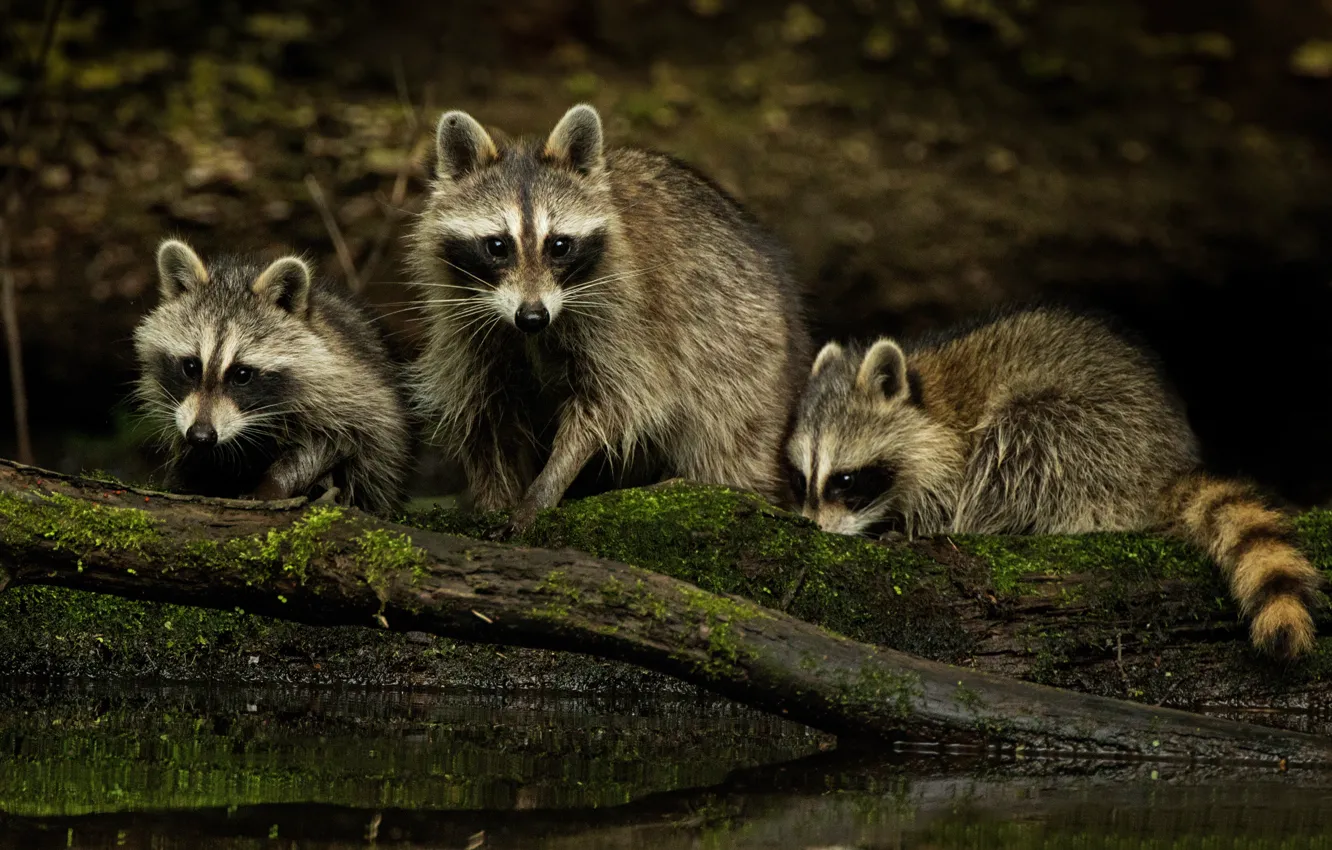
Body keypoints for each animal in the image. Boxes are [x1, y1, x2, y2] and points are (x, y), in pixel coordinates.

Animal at [133, 239, 411, 514]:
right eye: (190, 367)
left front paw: (275, 483)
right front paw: (190, 470)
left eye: (242, 374)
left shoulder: (352, 398)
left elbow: (331, 444)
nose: (201, 435)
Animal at [409, 104, 810, 529]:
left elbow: (608, 405)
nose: (532, 316)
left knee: (728, 440)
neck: (531, 334)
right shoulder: (464, 325)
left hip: (746, 359)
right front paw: (495, 500)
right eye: (497, 246)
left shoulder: (625, 319)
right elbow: (483, 415)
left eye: (559, 246)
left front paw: (545, 486)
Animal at [789, 307, 1322, 657]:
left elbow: (956, 483)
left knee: (1019, 439)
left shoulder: (950, 448)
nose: (813, 528)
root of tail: (1164, 467)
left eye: (845, 480)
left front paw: (914, 528)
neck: (925, 401)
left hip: (1096, 440)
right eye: (801, 481)